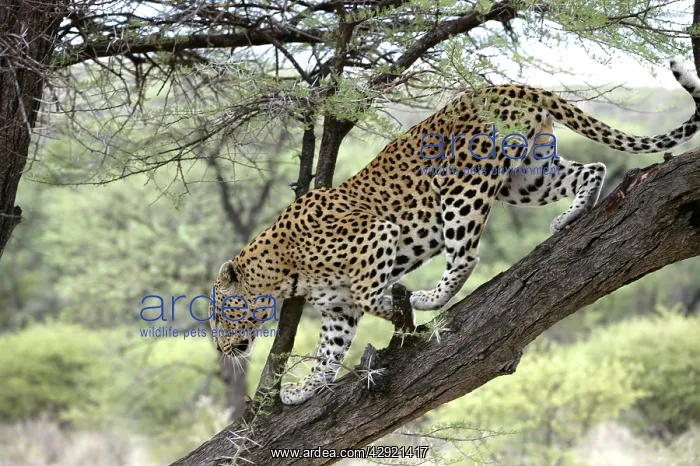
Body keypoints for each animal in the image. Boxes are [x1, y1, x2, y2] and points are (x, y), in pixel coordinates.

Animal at [209, 57, 700, 405]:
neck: (281, 269)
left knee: (465, 254)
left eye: (221, 315)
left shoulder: (375, 238)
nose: (221, 349)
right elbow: (328, 351)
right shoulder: (337, 309)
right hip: (526, 177)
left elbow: (372, 297)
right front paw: (304, 389)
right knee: (591, 169)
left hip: (464, 184)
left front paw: (399, 310)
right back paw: (571, 217)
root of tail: (508, 83)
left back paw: (430, 297)